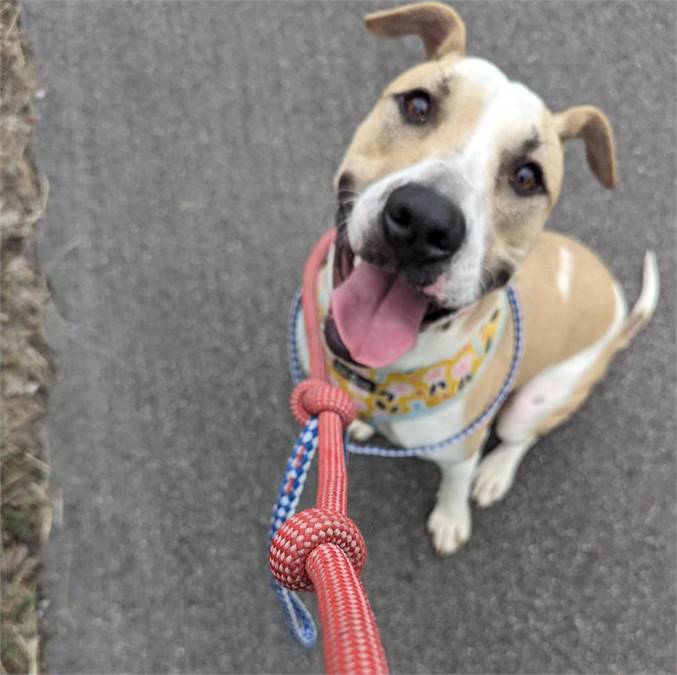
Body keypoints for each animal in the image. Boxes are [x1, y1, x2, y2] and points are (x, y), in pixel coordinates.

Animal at [296, 2, 656, 556]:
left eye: (527, 177)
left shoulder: (462, 446)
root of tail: (618, 314)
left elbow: (454, 481)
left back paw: (495, 473)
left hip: (539, 398)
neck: (384, 378)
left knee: (522, 436)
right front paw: (358, 425)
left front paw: (451, 517)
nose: (424, 222)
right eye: (418, 105)